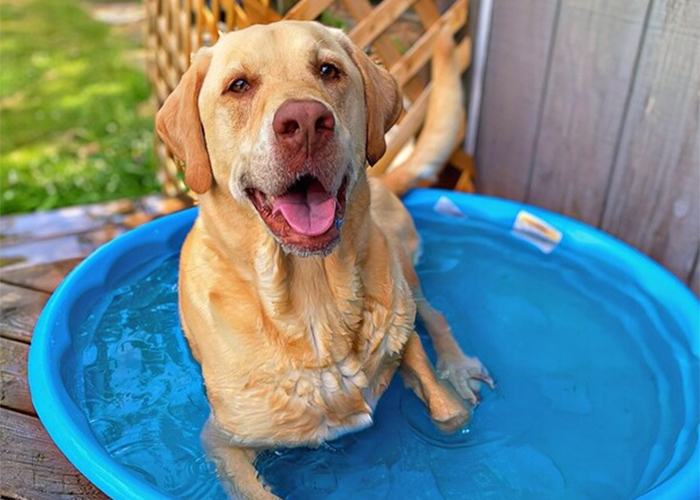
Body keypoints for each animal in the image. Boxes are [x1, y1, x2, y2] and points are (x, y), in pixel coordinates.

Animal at [156, 20, 492, 500]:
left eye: (328, 70)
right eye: (238, 85)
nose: (306, 122)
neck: (314, 301)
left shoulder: (402, 338)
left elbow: (447, 409)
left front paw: (450, 398)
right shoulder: (223, 440)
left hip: (404, 271)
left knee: (436, 315)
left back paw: (458, 367)